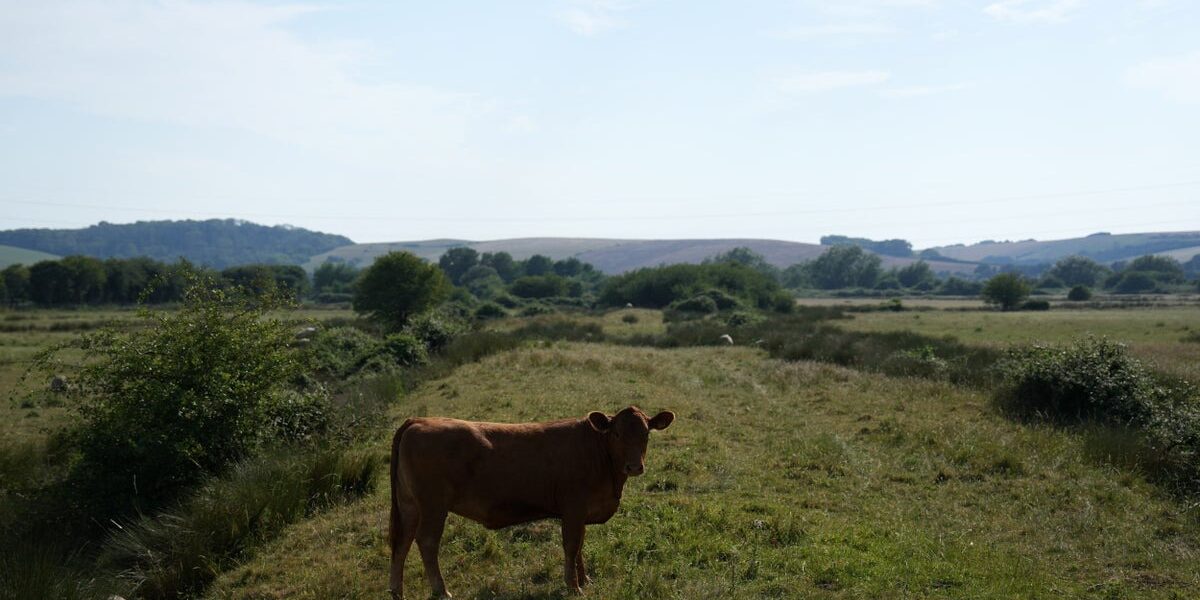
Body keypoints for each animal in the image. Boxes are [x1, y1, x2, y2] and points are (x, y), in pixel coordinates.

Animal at [388, 406, 675, 599]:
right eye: (616, 434)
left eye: (646, 434)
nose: (634, 467)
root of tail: (419, 421)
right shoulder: (574, 508)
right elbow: (572, 545)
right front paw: (574, 586)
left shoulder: (580, 513)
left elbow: (580, 546)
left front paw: (585, 579)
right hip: (433, 505)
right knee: (426, 542)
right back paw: (441, 590)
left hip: (409, 505)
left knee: (401, 543)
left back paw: (397, 591)